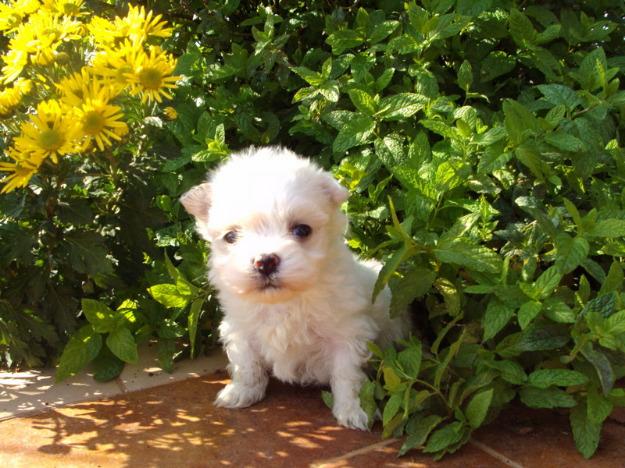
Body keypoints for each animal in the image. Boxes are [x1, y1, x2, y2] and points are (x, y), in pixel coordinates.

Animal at [180, 148, 404, 430]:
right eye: (231, 237)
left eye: (301, 230)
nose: (265, 261)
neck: (284, 301)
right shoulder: (241, 328)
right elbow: (246, 363)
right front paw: (241, 392)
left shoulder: (347, 334)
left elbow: (347, 375)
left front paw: (355, 410)